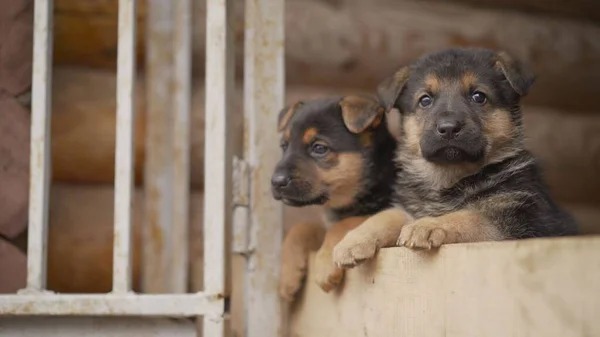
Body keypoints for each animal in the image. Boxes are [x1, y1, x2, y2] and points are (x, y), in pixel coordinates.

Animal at [274, 94, 398, 300]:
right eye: (284, 146)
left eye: (319, 148)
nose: (276, 182)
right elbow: (302, 227)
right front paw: (287, 275)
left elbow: (344, 224)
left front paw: (325, 265)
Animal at [332, 48, 576, 268]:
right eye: (425, 100)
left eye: (478, 96)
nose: (448, 128)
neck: (448, 178)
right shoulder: (409, 209)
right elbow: (385, 216)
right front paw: (351, 241)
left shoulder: (518, 222)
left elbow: (469, 215)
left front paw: (427, 225)